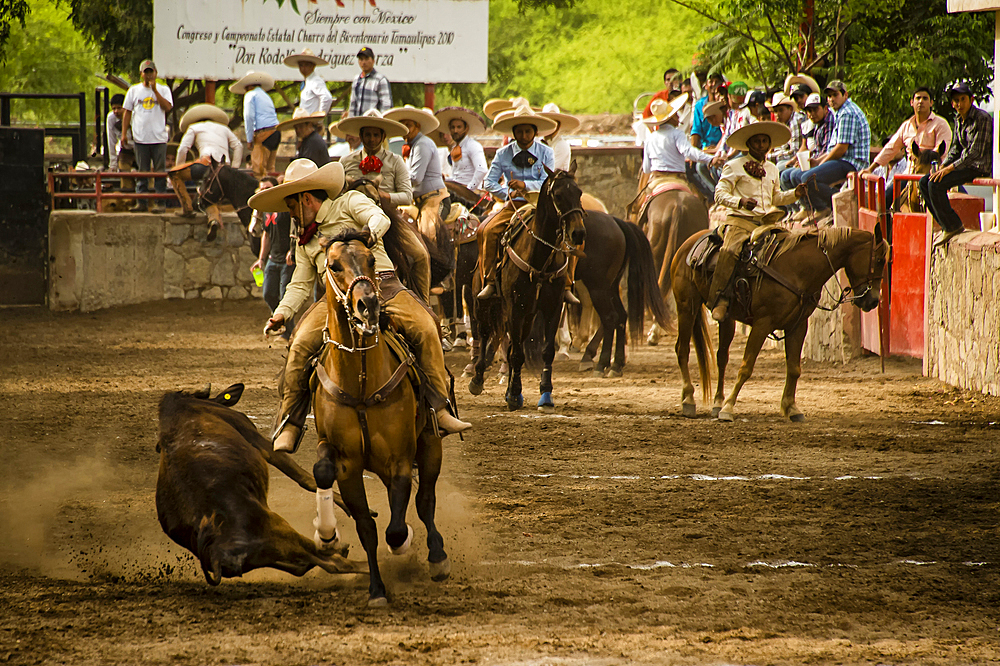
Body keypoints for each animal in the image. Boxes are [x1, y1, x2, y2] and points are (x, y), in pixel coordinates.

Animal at [308, 230, 450, 608]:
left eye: (371, 260)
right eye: (333, 265)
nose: (368, 304)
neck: (360, 382)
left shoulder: (400, 457)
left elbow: (397, 527)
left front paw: (403, 544)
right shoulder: (346, 464)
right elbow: (366, 528)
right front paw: (374, 586)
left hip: (430, 445)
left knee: (425, 501)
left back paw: (437, 557)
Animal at [468, 165, 584, 410]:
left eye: (579, 192)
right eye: (558, 195)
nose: (578, 233)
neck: (539, 257)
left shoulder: (552, 308)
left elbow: (546, 352)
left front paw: (545, 394)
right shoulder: (515, 308)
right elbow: (517, 354)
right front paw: (514, 394)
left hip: (527, 316)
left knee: (514, 344)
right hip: (483, 304)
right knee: (484, 333)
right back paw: (477, 378)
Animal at [672, 223, 892, 420]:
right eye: (879, 259)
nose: (873, 300)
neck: (795, 269)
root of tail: (689, 243)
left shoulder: (798, 326)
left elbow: (794, 369)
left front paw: (791, 408)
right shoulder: (762, 324)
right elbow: (746, 367)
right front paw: (729, 408)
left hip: (726, 319)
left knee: (721, 357)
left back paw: (717, 403)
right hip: (686, 306)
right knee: (682, 349)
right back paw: (689, 401)